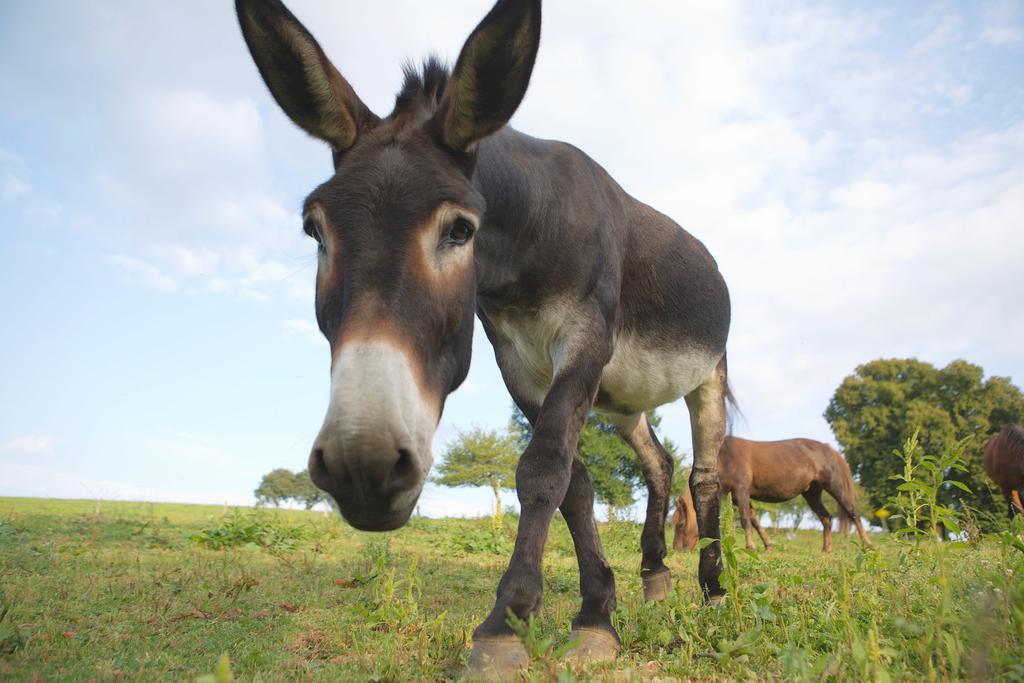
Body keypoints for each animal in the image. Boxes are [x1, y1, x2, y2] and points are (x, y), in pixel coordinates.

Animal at [237, 0, 737, 675]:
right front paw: (595, 611)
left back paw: (712, 593)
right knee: (658, 462)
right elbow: (574, 483)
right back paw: (656, 577)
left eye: (459, 230)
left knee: (704, 475)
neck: (527, 243)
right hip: (622, 400)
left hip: (707, 372)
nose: (363, 467)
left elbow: (544, 469)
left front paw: (508, 622)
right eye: (315, 230)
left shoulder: (584, 340)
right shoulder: (519, 362)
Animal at [675, 438, 868, 557]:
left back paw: (867, 543)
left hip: (835, 487)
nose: (678, 550)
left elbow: (745, 519)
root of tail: (830, 449)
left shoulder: (741, 491)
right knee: (826, 517)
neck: (723, 458)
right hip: (812, 493)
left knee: (853, 512)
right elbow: (755, 520)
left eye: (681, 524)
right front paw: (768, 545)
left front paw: (751, 545)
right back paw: (826, 548)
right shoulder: (737, 497)